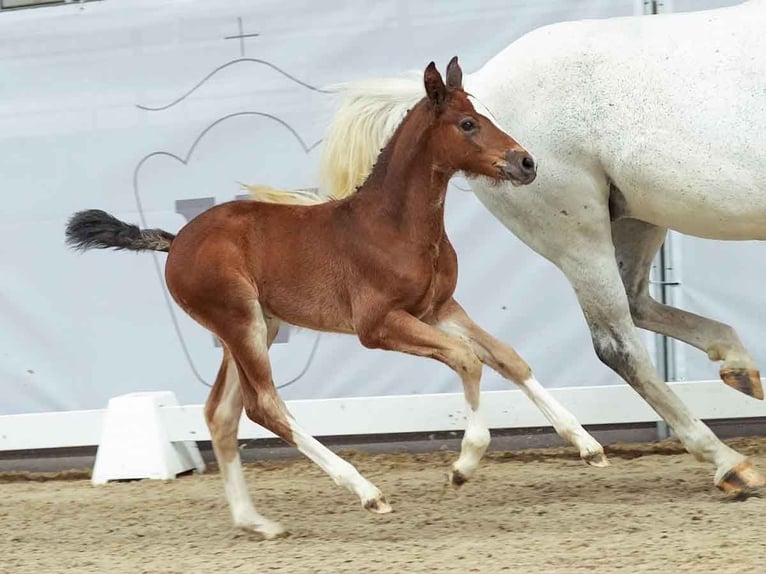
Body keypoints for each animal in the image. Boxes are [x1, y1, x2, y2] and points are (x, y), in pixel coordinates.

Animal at [67, 60, 592, 544]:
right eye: (467, 124)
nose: (526, 163)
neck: (395, 225)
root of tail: (175, 242)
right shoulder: (377, 325)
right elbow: (467, 360)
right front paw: (464, 464)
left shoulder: (439, 308)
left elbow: (506, 357)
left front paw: (586, 445)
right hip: (240, 324)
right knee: (264, 406)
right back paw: (366, 492)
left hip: (258, 327)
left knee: (221, 412)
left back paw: (256, 522)